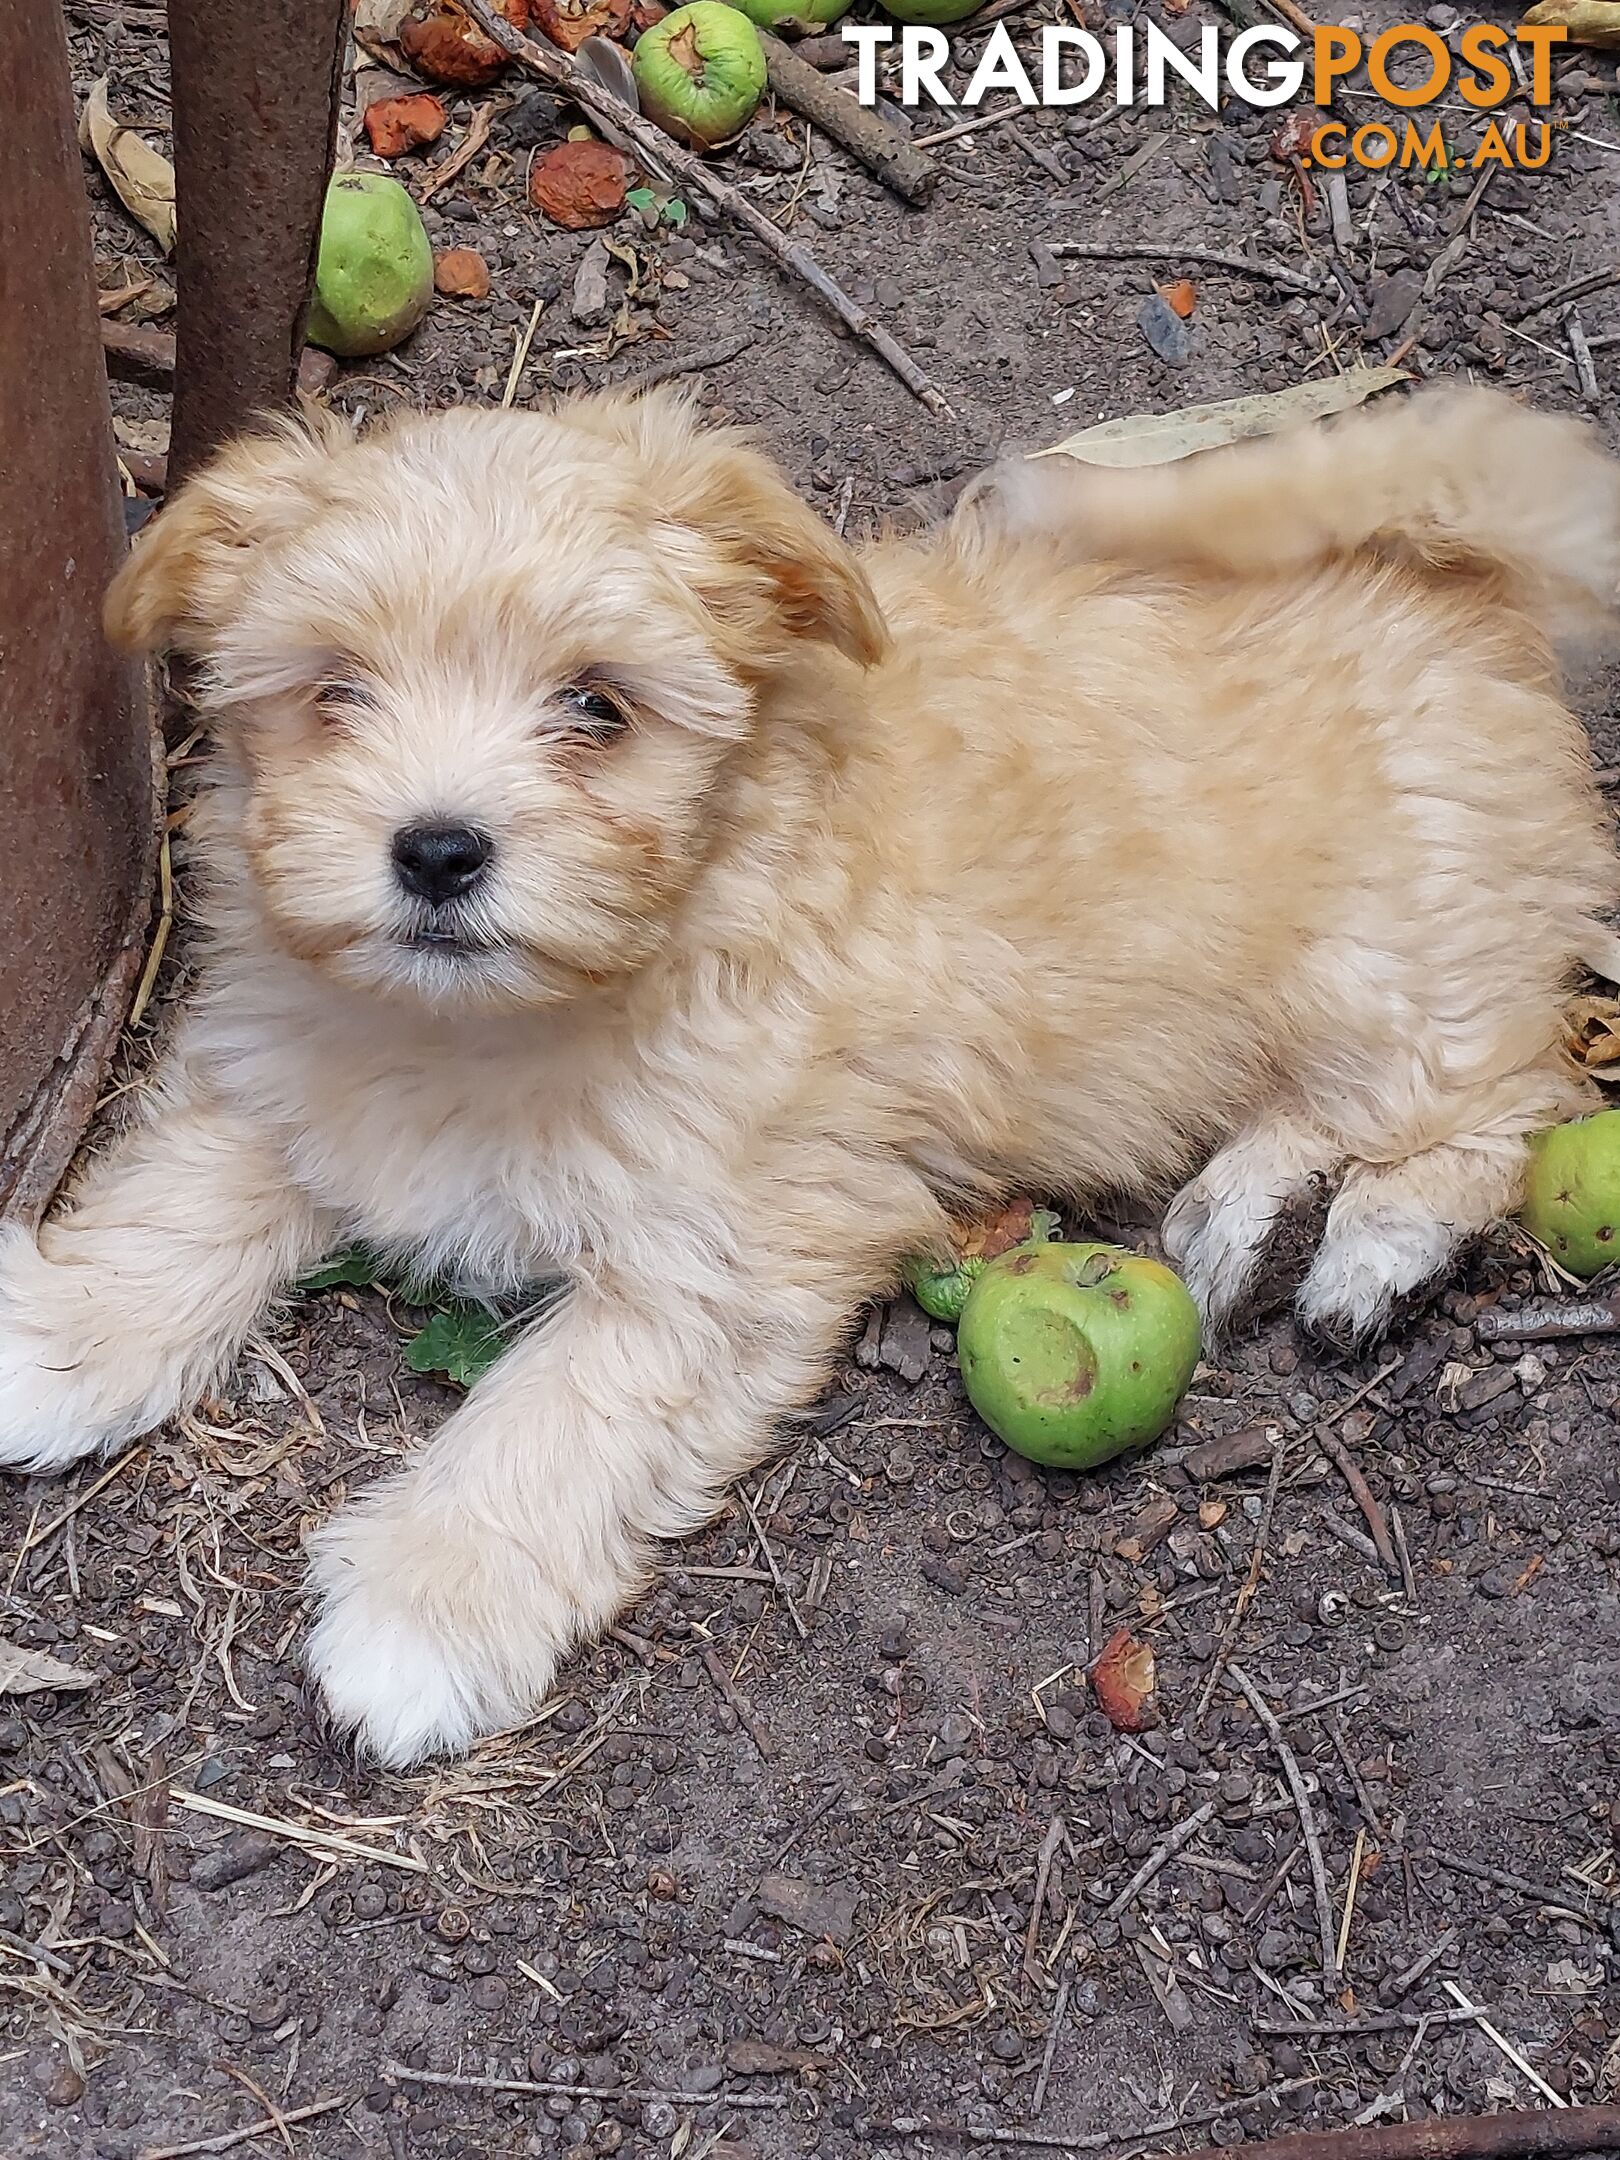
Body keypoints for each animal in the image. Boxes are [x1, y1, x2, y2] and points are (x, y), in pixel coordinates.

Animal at [3, 384, 1620, 1771]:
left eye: (597, 707)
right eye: (334, 690)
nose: (438, 849)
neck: (508, 1017)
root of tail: (1454, 584)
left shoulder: (719, 1254)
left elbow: (557, 1417)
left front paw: (428, 1605)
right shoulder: (288, 1058)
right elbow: (182, 1194)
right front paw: (62, 1333)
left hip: (1396, 963)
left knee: (1499, 1097)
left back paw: (1370, 1243)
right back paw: (1250, 1219)